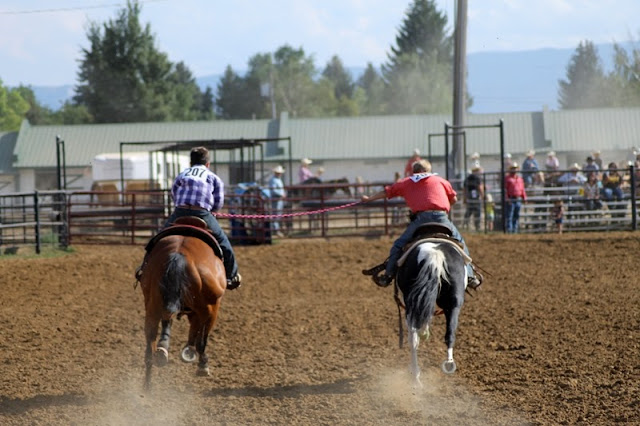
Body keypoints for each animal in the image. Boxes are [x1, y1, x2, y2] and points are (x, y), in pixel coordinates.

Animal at [139, 221, 226, 392]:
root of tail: (178, 254)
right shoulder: (211, 308)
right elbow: (201, 338)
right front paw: (201, 363)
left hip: (152, 306)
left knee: (150, 345)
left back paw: (149, 381)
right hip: (209, 307)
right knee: (201, 340)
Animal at [398, 231, 468, 388]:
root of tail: (434, 255)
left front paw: (425, 333)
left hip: (415, 303)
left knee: (416, 337)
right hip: (454, 303)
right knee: (447, 332)